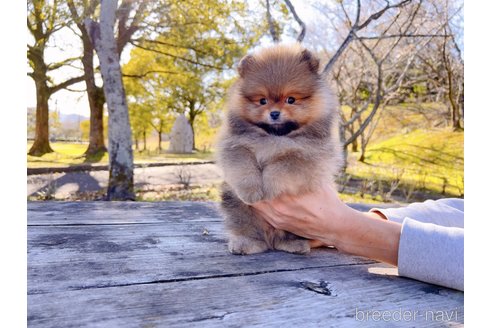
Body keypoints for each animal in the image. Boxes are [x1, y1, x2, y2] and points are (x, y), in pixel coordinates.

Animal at [215, 43, 342, 255]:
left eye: (291, 100)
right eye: (262, 101)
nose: (274, 113)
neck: (275, 137)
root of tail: (271, 238)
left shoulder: (308, 156)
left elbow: (281, 166)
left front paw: (269, 187)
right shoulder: (236, 145)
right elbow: (243, 167)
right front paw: (252, 191)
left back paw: (294, 244)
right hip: (236, 206)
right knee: (247, 228)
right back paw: (247, 242)